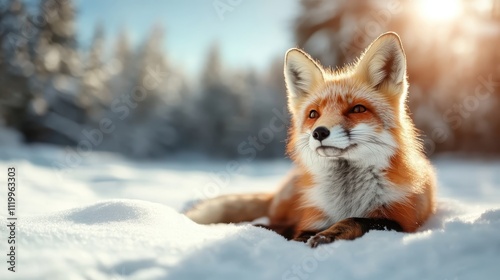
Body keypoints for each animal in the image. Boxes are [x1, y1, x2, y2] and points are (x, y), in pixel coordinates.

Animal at [186, 32, 436, 247]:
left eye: (357, 109)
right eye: (314, 114)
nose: (319, 133)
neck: (347, 198)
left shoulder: (402, 220)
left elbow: (356, 221)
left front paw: (328, 235)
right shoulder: (313, 216)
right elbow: (299, 230)